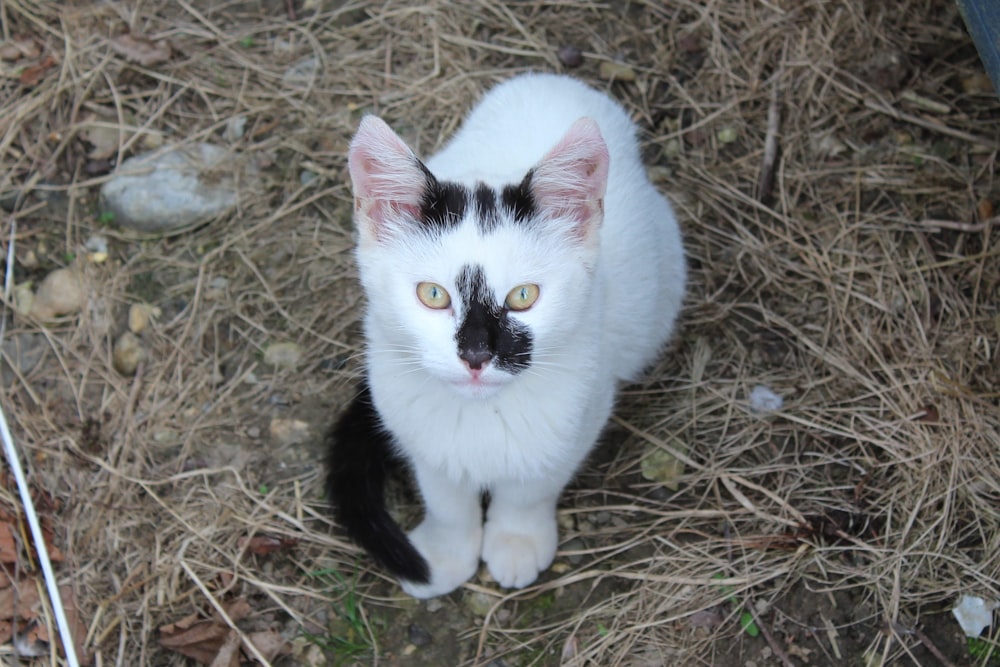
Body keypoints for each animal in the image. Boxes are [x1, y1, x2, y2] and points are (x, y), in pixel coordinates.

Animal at [328, 73, 688, 600]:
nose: (477, 355)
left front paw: (516, 539)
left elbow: (530, 488)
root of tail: (556, 79)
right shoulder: (417, 432)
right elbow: (445, 497)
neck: (480, 418)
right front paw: (444, 555)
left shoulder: (582, 414)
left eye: (523, 295)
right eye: (432, 294)